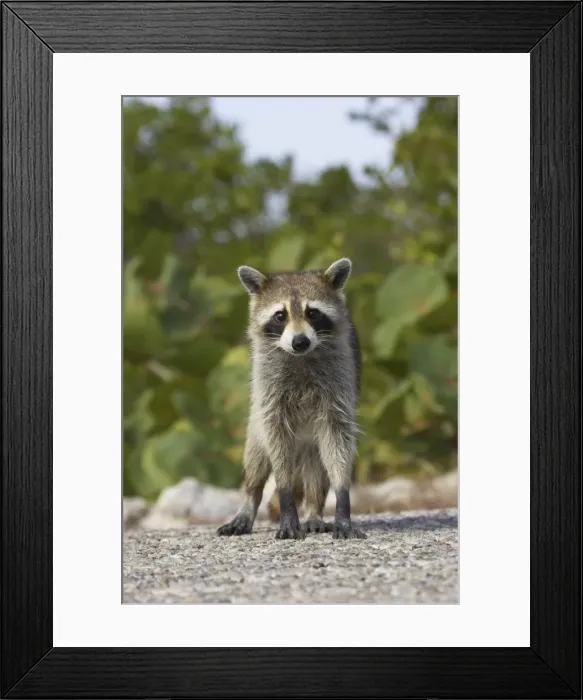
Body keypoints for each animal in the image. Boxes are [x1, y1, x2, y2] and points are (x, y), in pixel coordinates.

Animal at [217, 258, 366, 540]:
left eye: (313, 313)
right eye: (280, 315)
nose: (300, 342)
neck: (301, 357)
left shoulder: (339, 387)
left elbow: (339, 443)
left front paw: (343, 503)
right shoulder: (269, 395)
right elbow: (276, 449)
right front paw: (286, 504)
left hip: (311, 446)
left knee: (318, 472)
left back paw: (314, 511)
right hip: (256, 420)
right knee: (256, 459)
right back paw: (249, 503)